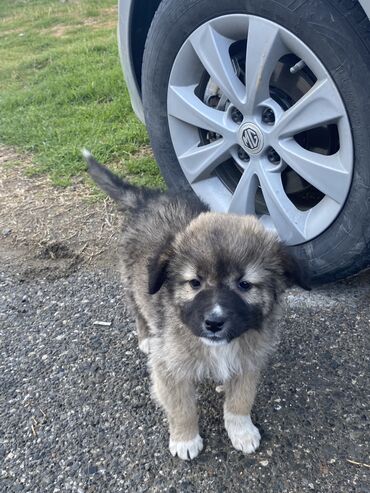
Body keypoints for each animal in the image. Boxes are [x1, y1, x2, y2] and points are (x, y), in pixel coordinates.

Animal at [84, 151, 310, 462]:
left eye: (244, 284)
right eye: (194, 283)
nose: (214, 323)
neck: (216, 346)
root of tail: (146, 198)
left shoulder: (248, 361)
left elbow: (240, 401)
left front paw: (241, 431)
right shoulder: (169, 369)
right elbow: (182, 408)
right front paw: (185, 438)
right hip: (133, 283)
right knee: (139, 311)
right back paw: (146, 338)